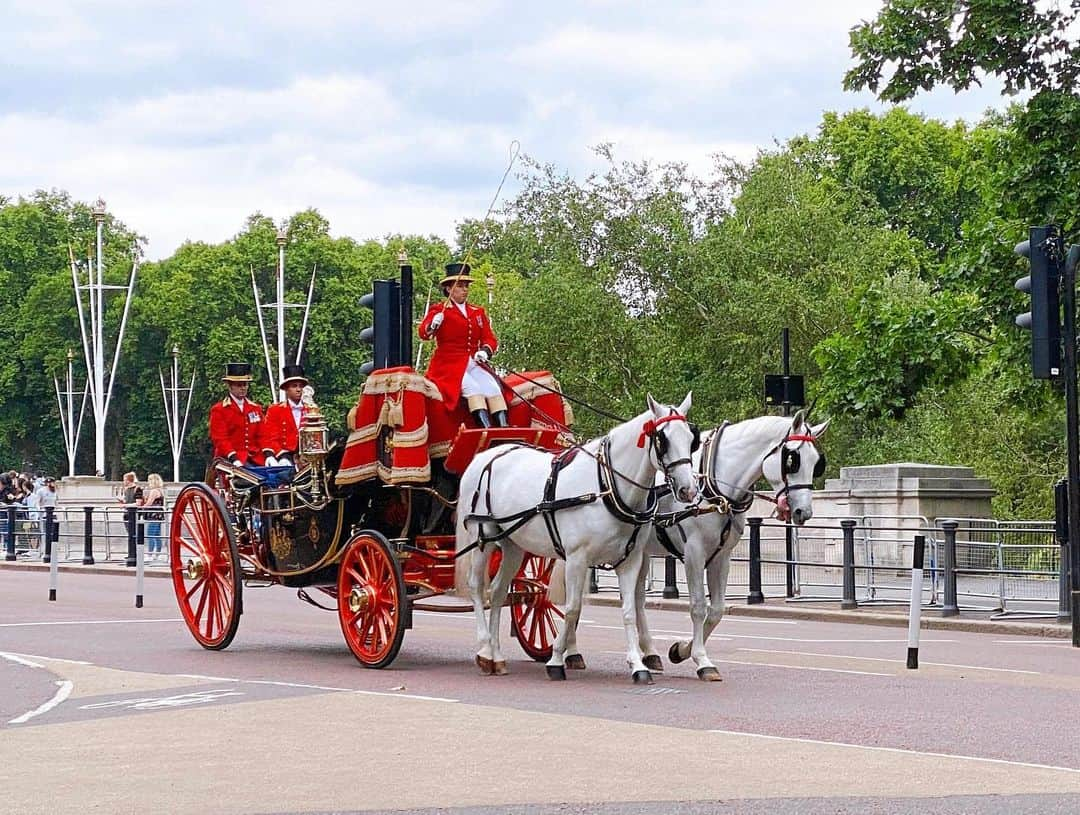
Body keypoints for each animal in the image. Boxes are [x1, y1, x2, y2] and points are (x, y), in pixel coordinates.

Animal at [455, 392, 699, 682]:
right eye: (663, 439)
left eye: (691, 438)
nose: (688, 489)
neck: (606, 488)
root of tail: (485, 456)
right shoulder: (576, 559)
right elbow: (571, 608)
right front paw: (556, 660)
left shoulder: (630, 560)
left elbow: (628, 611)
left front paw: (638, 666)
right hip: (483, 539)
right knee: (477, 587)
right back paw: (484, 650)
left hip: (513, 545)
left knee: (498, 591)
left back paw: (496, 656)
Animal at [630, 408, 825, 682]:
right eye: (792, 460)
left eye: (816, 462)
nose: (803, 512)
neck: (713, 487)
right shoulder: (694, 553)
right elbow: (698, 607)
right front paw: (701, 660)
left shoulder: (722, 556)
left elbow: (717, 610)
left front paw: (682, 650)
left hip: (640, 552)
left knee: (637, 599)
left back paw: (650, 652)